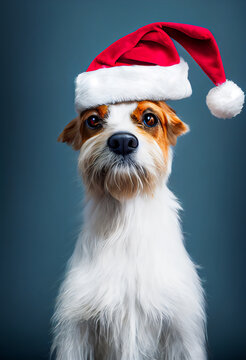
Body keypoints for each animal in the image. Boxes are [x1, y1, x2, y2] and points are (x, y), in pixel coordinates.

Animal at [52, 100, 208, 360]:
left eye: (150, 118)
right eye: (93, 120)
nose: (122, 141)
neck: (125, 224)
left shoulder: (180, 330)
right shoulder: (77, 332)